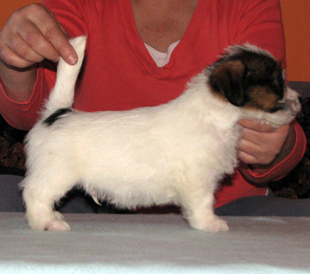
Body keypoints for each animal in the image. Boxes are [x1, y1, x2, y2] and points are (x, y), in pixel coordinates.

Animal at [20, 36, 300, 232]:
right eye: (277, 81)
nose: (300, 101)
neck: (215, 115)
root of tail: (56, 114)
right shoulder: (198, 178)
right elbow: (203, 202)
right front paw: (209, 223)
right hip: (56, 174)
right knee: (35, 194)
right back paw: (46, 222)